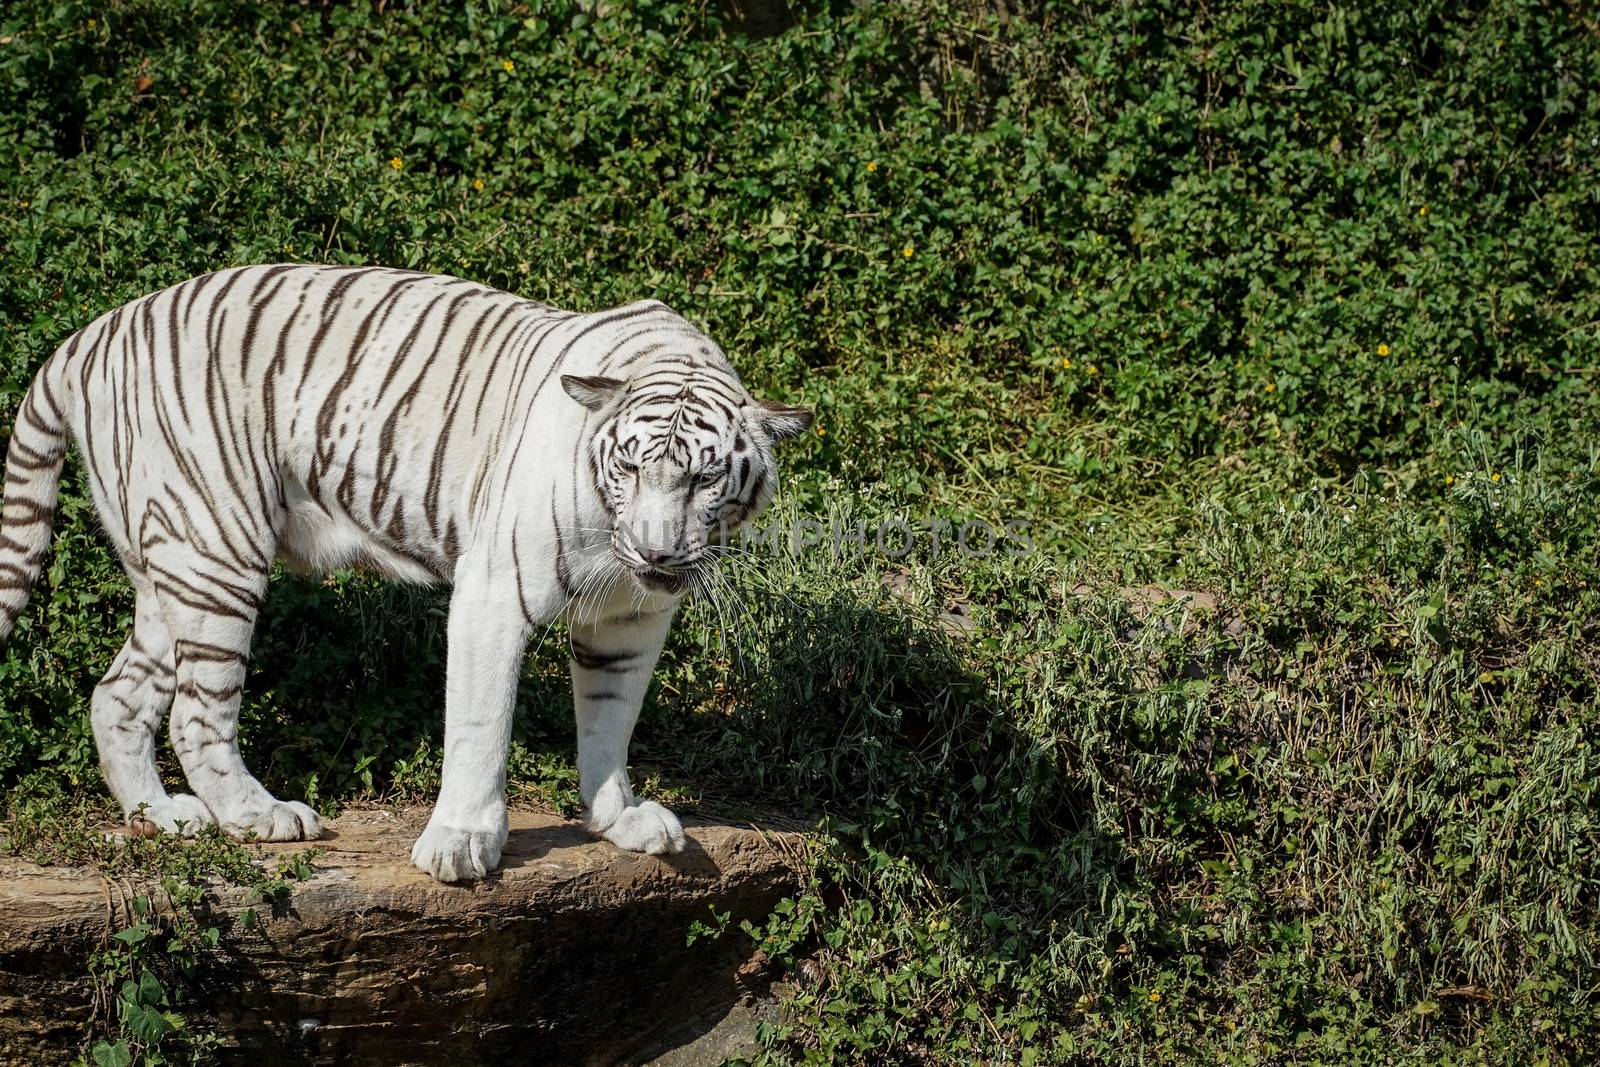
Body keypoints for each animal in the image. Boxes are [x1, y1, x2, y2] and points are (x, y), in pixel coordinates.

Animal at [0, 267, 806, 883]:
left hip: (169, 572)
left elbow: (611, 720)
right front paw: (461, 843)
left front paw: (620, 819)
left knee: (117, 696)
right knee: (196, 716)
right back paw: (261, 816)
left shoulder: (631, 619)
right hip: (215, 549)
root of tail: (91, 333)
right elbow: (481, 726)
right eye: (631, 467)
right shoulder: (494, 592)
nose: (656, 553)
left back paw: (165, 816)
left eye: (704, 478)